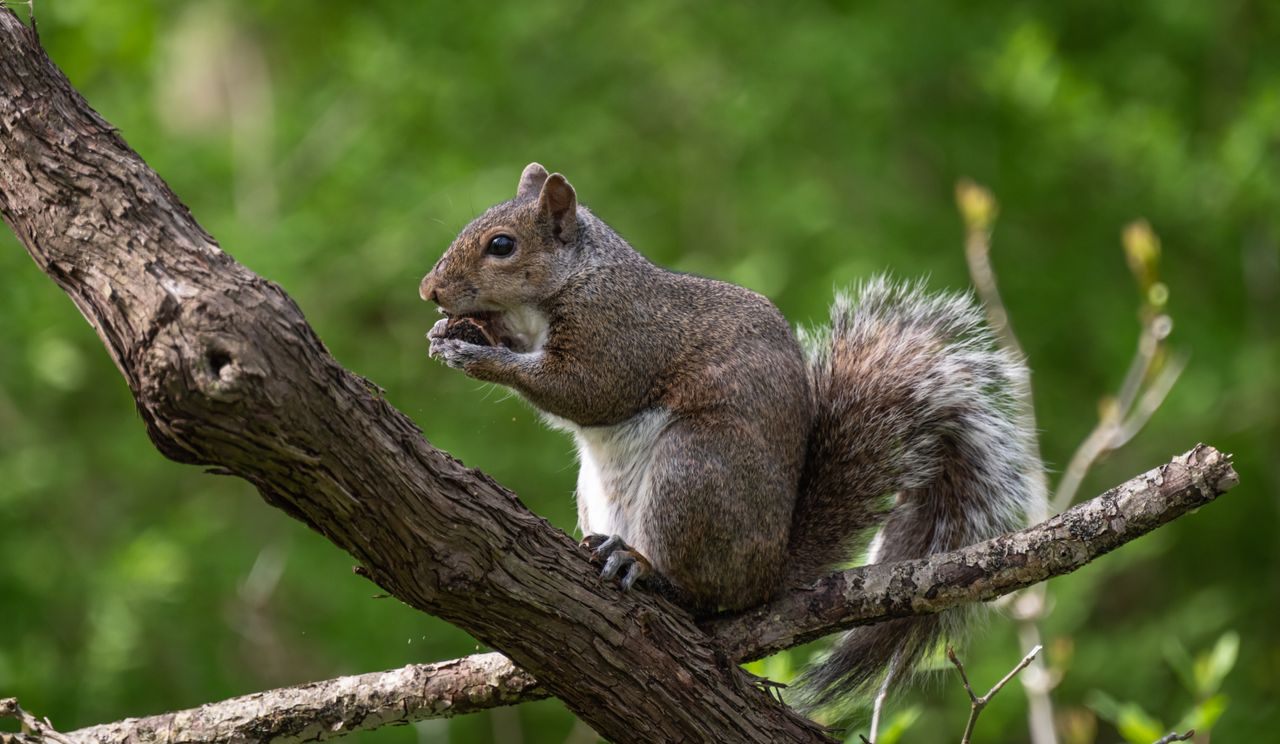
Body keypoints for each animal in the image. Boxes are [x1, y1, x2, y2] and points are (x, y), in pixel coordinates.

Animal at [418, 162, 1045, 707]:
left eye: (502, 245)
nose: (429, 290)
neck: (575, 278)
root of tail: (769, 576)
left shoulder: (620, 334)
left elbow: (585, 392)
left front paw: (478, 356)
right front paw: (460, 333)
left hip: (693, 471)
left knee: (704, 595)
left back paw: (644, 569)